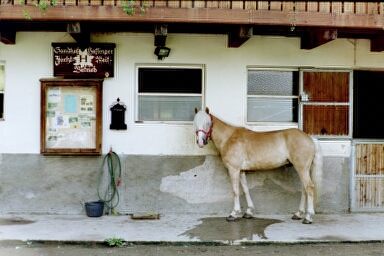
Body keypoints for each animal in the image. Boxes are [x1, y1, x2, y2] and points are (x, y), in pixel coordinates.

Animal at [194, 107, 322, 223]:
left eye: (208, 123)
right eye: (195, 123)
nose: (200, 142)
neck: (229, 137)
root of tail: (310, 138)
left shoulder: (233, 169)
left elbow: (235, 191)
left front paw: (234, 213)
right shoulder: (241, 170)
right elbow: (245, 189)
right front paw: (248, 212)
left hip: (301, 168)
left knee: (309, 187)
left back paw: (308, 217)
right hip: (303, 169)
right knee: (304, 189)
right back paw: (298, 214)